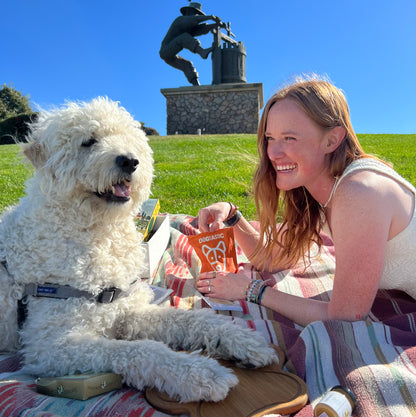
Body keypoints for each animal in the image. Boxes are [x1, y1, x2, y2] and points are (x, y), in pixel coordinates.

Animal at [0, 96, 276, 400]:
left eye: (129, 137)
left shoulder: (126, 310)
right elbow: (139, 349)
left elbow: (192, 319)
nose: (130, 161)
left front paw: (244, 341)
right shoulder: (51, 347)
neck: (98, 233)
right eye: (88, 141)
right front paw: (201, 374)